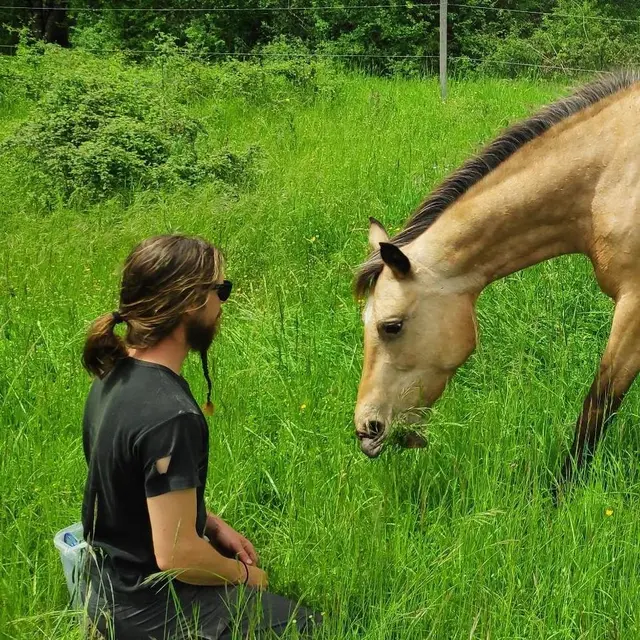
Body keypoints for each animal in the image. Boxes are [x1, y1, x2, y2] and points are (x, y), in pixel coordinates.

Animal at [353, 70, 640, 493]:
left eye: (392, 326)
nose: (366, 429)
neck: (613, 169)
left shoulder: (634, 304)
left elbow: (598, 404)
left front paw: (559, 494)